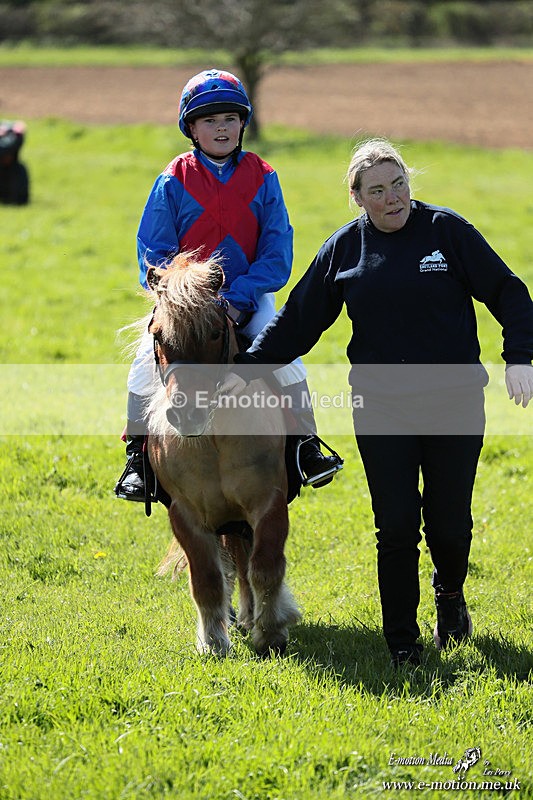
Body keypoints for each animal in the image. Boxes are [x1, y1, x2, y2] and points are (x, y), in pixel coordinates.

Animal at [142, 251, 301, 656]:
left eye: (214, 332)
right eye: (158, 335)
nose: (187, 414)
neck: (212, 438)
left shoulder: (267, 502)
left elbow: (265, 566)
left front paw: (271, 631)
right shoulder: (185, 514)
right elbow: (207, 578)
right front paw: (213, 642)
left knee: (247, 564)